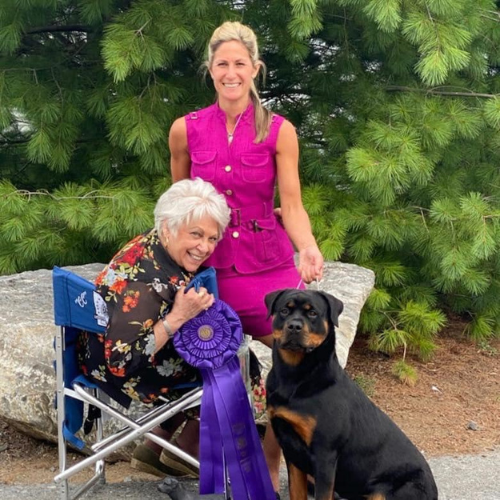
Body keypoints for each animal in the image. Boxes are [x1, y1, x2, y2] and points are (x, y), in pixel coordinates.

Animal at [265, 289, 438, 500]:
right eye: (284, 310)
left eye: (313, 313)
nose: (294, 326)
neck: (295, 377)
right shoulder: (291, 451)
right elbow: (296, 492)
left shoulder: (324, 454)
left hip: (387, 492)